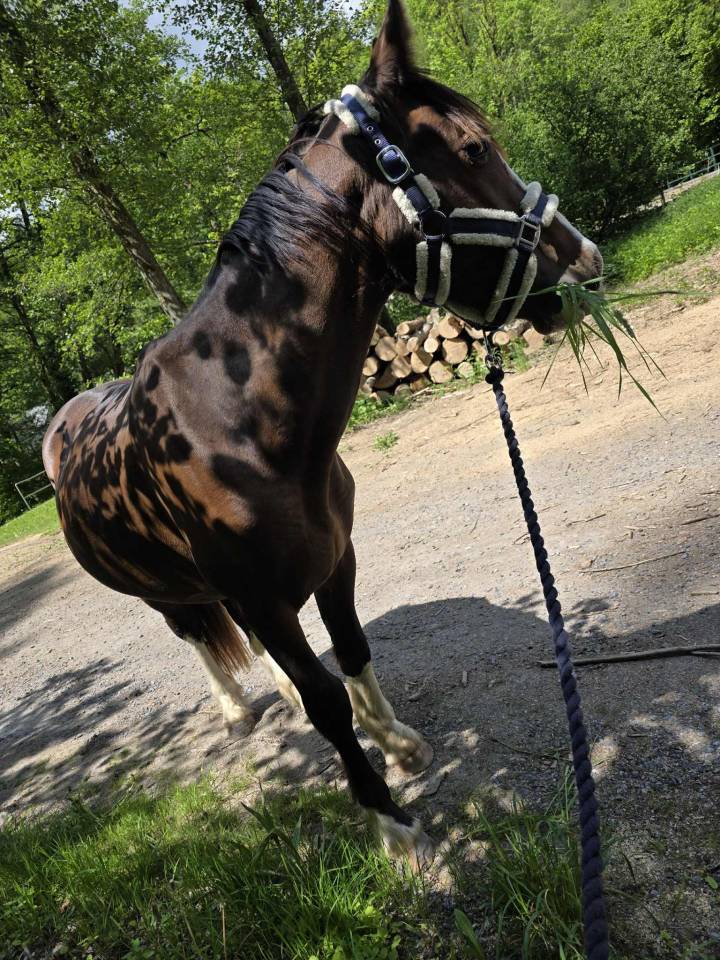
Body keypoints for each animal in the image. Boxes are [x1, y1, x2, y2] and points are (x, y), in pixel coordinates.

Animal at [43, 0, 603, 864]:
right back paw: (238, 710)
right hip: (164, 592)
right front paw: (392, 824)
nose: (587, 263)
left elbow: (352, 654)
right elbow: (325, 703)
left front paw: (398, 743)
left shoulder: (336, 560)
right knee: (194, 635)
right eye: (473, 148)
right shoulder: (267, 603)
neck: (241, 423)